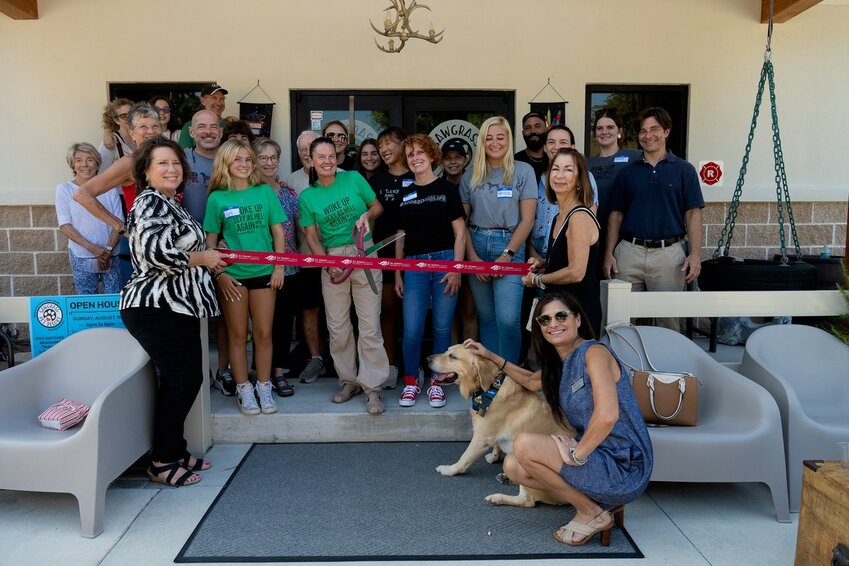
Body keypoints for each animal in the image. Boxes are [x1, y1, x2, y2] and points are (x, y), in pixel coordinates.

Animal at [424, 344, 576, 508]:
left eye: (453, 357)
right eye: (447, 350)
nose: (427, 358)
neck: (491, 388)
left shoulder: (481, 438)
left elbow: (463, 459)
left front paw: (449, 470)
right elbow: (497, 444)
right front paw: (494, 456)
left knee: (527, 500)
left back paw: (498, 497)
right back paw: (506, 478)